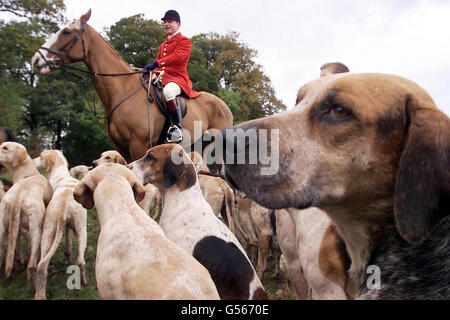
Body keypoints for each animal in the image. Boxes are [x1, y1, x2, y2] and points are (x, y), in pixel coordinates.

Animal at [31, 9, 234, 162]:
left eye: (66, 32)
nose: (35, 60)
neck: (122, 89)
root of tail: (224, 105)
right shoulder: (122, 147)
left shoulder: (138, 145)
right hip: (202, 145)